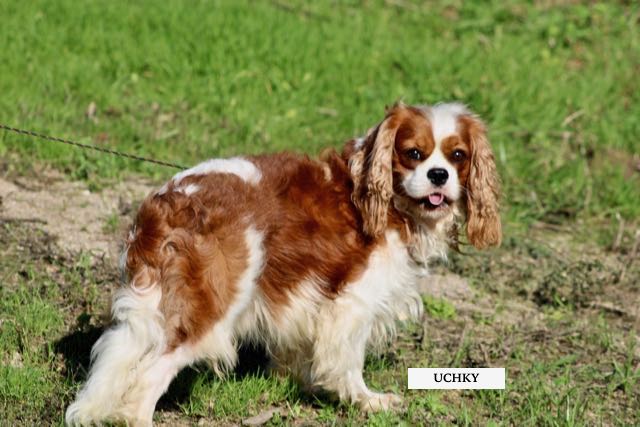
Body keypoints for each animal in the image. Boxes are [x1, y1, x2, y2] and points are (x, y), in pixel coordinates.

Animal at [67, 102, 502, 426]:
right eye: (413, 154)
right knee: (151, 373)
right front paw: (365, 400)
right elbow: (348, 361)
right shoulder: (352, 302)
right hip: (214, 304)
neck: (389, 200)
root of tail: (169, 200)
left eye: (458, 156)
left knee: (117, 353)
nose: (439, 175)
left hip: (156, 303)